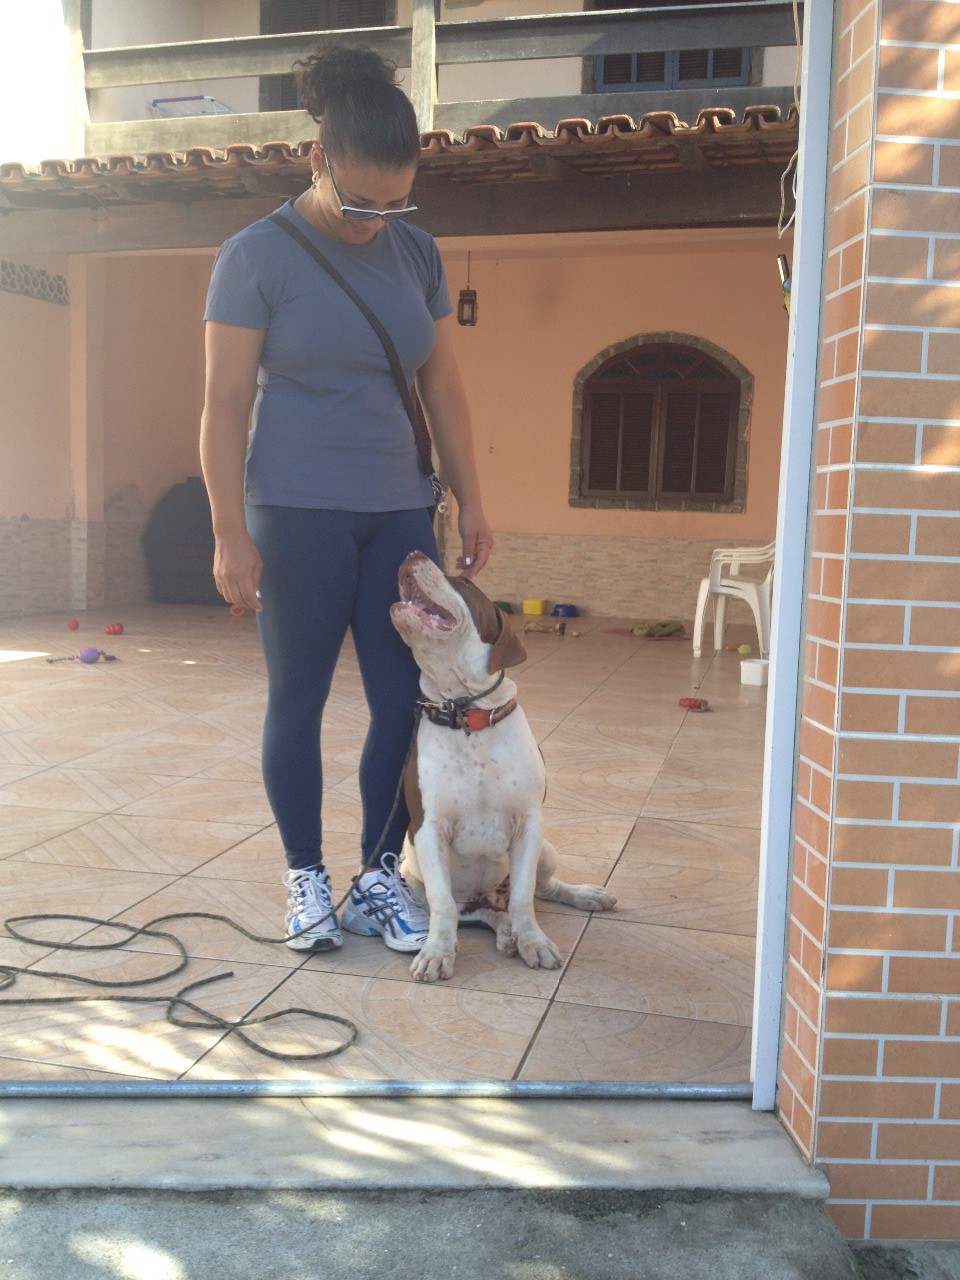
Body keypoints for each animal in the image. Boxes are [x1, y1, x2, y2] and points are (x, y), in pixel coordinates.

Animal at [390, 551, 616, 983]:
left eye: (463, 582)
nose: (412, 554)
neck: (465, 711)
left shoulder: (528, 825)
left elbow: (524, 897)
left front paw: (534, 942)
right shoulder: (428, 830)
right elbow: (443, 905)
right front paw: (437, 953)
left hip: (546, 849)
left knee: (540, 890)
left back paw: (580, 896)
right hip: (413, 878)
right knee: (474, 912)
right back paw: (503, 932)